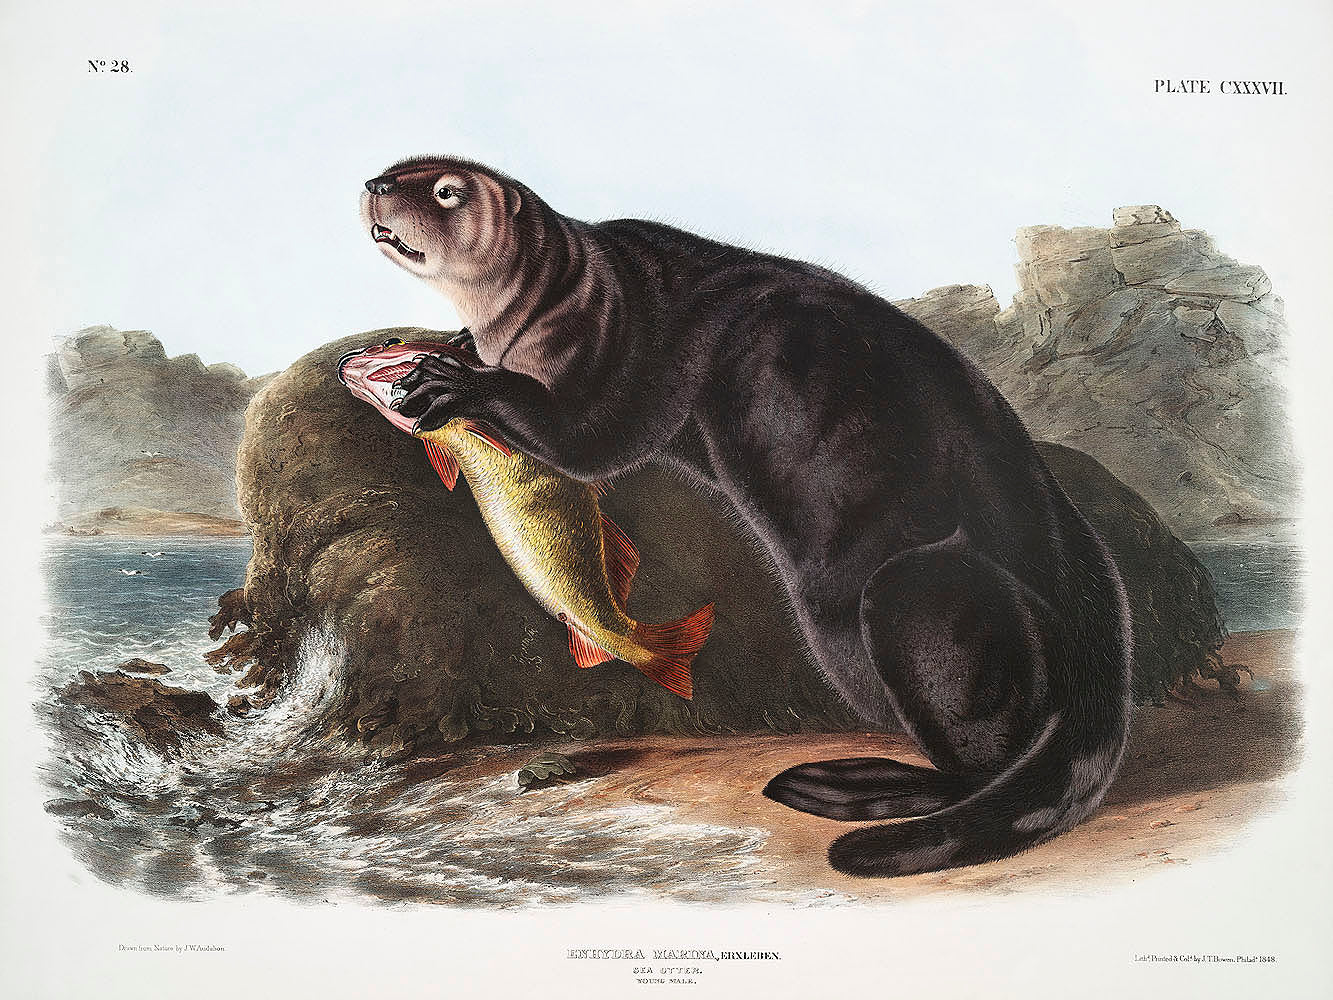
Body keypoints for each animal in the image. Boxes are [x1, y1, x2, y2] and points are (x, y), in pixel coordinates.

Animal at [359, 155, 1133, 878]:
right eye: (401, 170)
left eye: (446, 192)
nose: (374, 184)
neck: (572, 293)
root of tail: (1101, 657)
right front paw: (452, 346)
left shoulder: (627, 348)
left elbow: (594, 438)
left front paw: (449, 379)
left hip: (920, 592)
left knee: (979, 758)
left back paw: (848, 786)